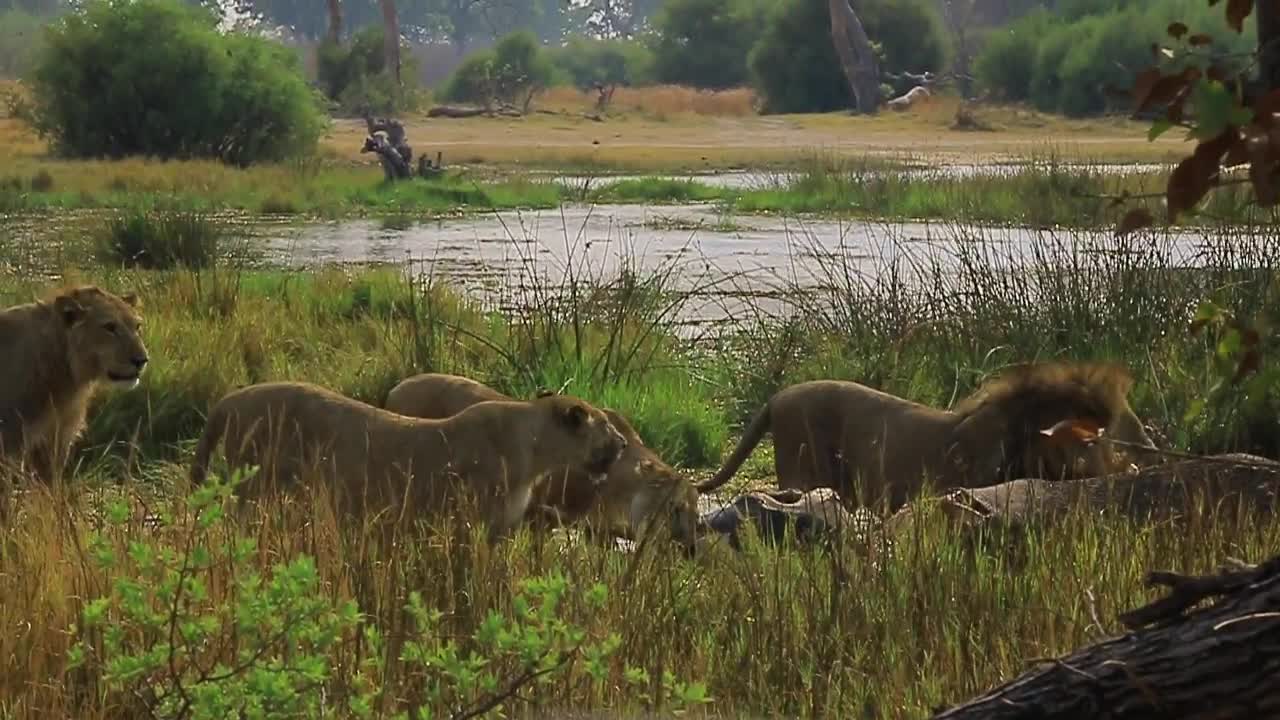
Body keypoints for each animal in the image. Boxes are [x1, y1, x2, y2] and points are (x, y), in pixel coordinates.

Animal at [190, 381, 629, 538]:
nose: (624, 443)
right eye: (606, 424)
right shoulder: (472, 519)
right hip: (253, 486)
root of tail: (227, 401)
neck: (536, 454)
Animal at [381, 368, 701, 548]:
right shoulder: (539, 516)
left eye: (695, 508)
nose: (690, 546)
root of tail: (396, 387)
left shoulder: (595, 530)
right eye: (674, 507)